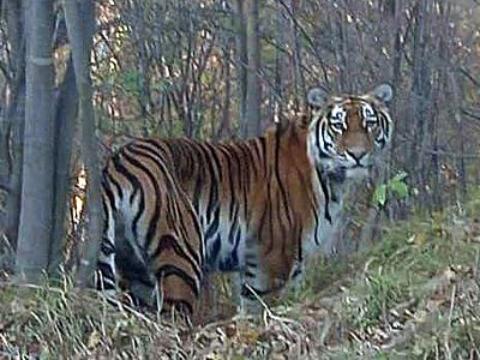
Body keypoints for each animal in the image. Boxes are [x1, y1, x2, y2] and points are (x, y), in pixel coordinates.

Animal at [97, 83, 394, 316]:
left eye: (369, 123)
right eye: (338, 125)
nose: (358, 154)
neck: (332, 179)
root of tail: (117, 161)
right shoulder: (270, 259)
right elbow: (259, 308)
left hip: (134, 268)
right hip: (181, 255)